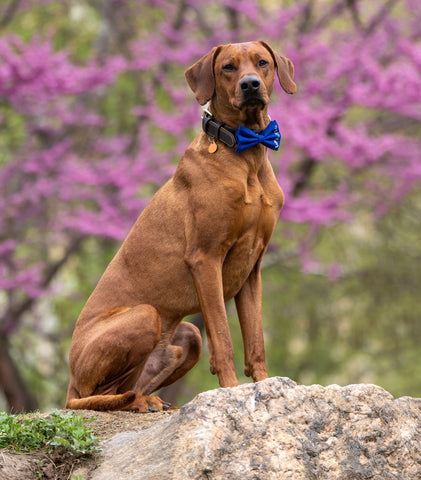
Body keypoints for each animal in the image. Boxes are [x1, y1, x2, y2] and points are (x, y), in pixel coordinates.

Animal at [65, 40, 296, 412]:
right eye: (228, 67)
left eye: (262, 62)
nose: (250, 85)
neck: (245, 152)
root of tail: (71, 381)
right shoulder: (205, 259)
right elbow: (223, 337)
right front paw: (231, 390)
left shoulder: (252, 269)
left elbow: (255, 341)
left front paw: (267, 387)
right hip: (144, 316)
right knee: (102, 396)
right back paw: (135, 402)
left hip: (188, 334)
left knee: (133, 384)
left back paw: (148, 399)